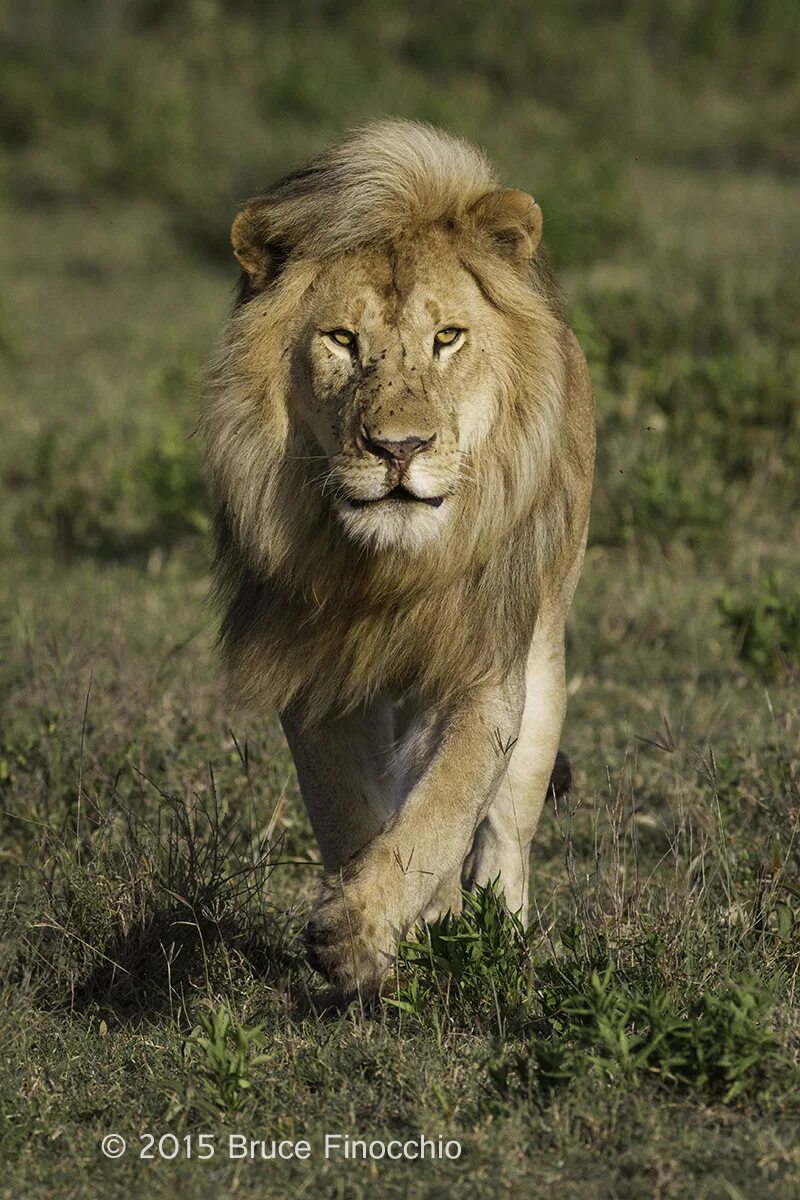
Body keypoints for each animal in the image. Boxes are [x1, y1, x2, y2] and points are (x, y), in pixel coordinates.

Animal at [203, 119, 594, 1003]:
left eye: (447, 338)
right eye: (342, 341)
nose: (398, 448)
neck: (390, 571)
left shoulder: (482, 670)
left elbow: (444, 805)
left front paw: (367, 929)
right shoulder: (317, 672)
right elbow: (354, 809)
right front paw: (364, 934)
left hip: (545, 654)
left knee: (506, 826)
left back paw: (496, 934)